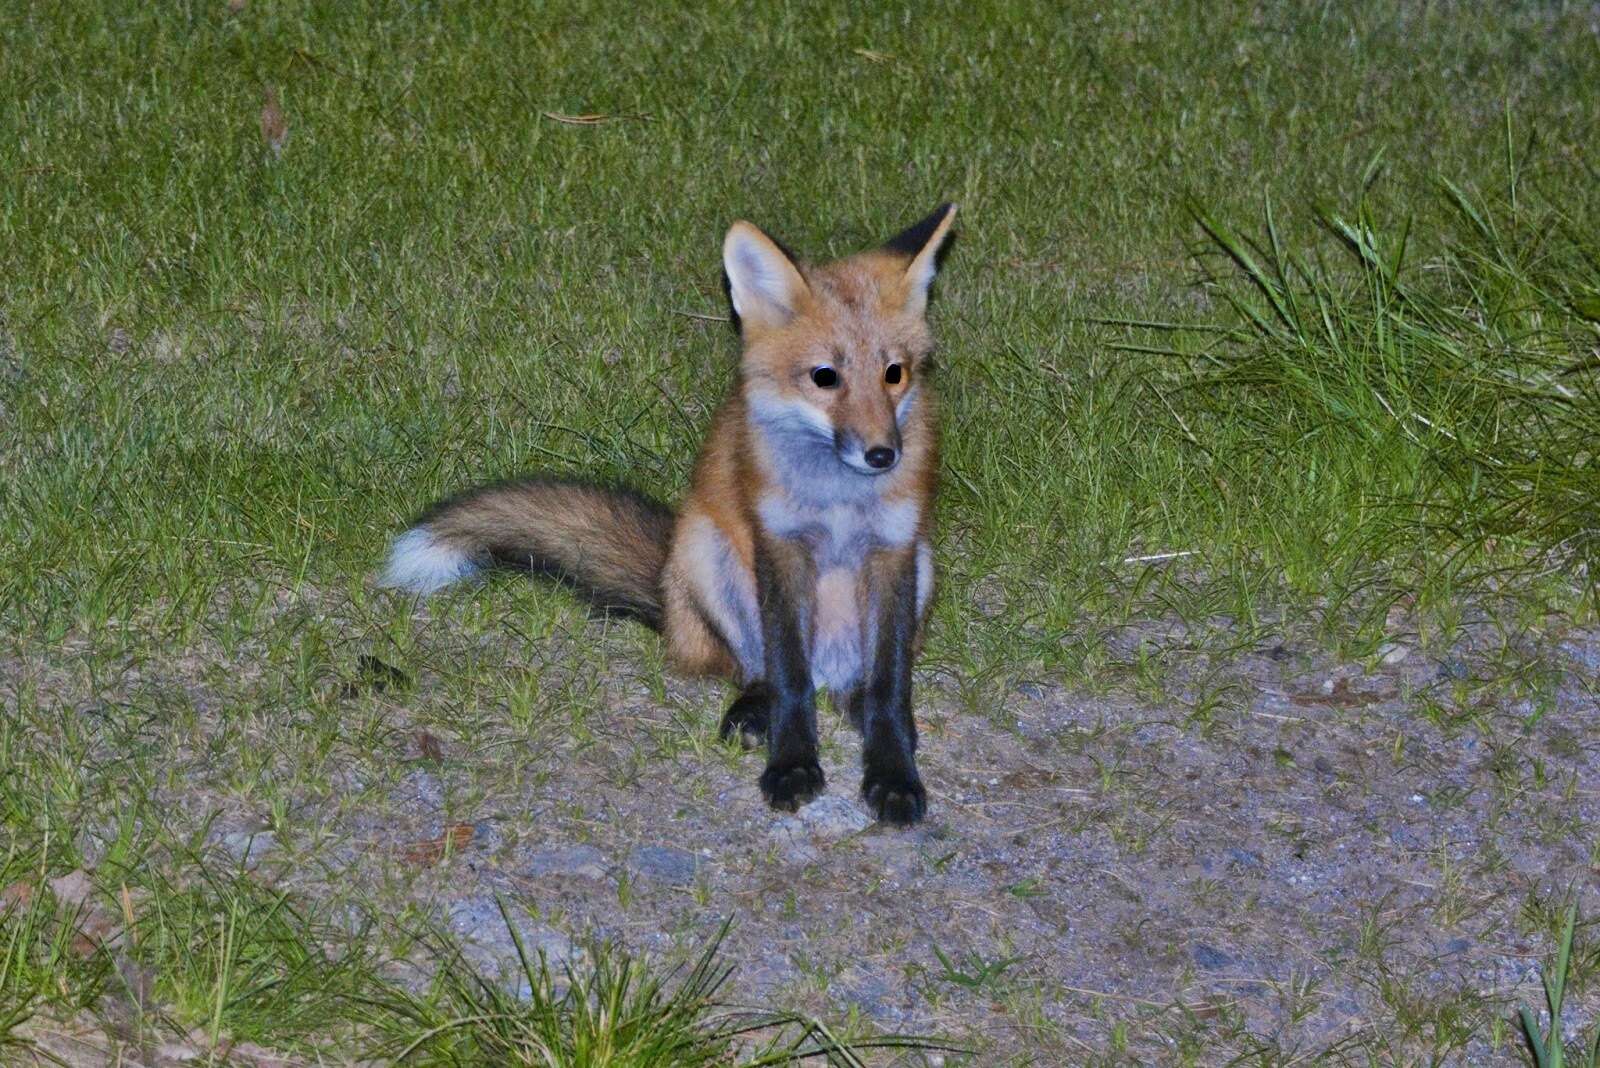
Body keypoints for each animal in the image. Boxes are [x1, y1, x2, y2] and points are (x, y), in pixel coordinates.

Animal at [380, 206, 953, 824]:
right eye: (825, 376)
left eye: (894, 372)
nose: (883, 455)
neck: (840, 501)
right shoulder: (779, 546)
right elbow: (788, 675)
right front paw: (791, 764)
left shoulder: (895, 549)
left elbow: (890, 685)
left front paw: (893, 772)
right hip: (705, 551)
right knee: (758, 670)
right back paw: (754, 710)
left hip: (924, 567)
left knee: (858, 683)